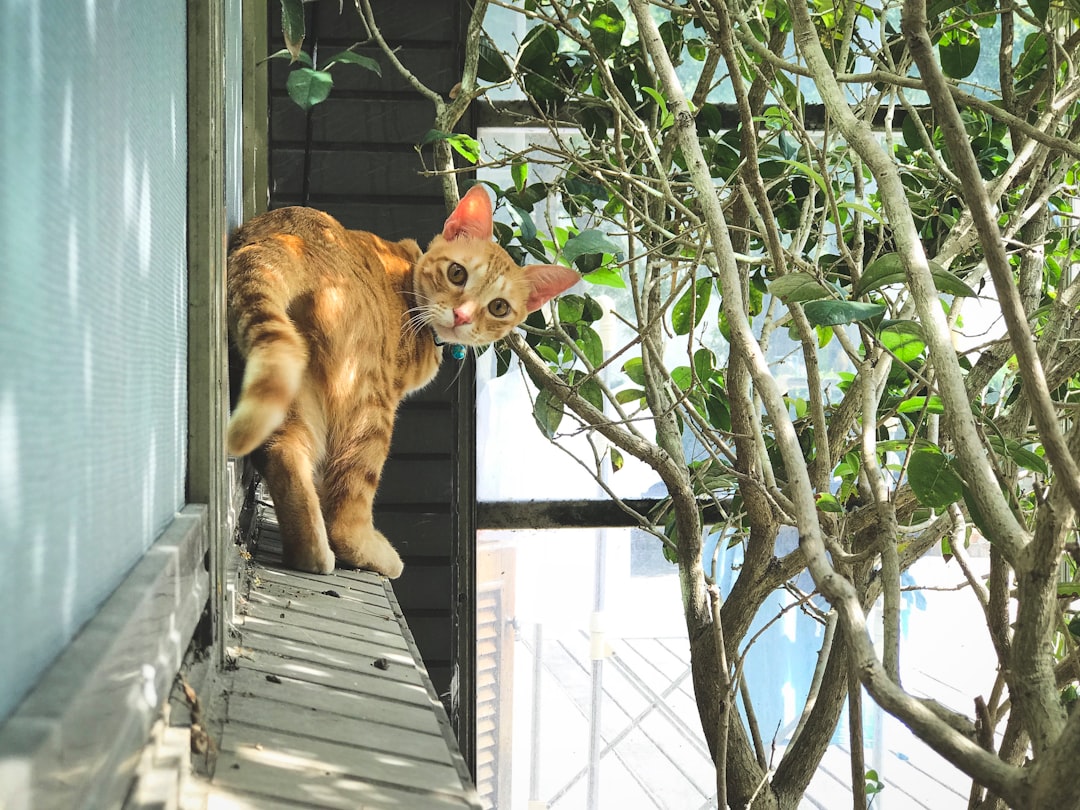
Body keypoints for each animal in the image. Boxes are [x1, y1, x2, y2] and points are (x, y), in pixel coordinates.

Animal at [226, 185, 578, 578]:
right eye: (457, 273)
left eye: (499, 307)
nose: (462, 316)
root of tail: (289, 238)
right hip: (370, 403)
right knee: (347, 502)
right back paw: (363, 550)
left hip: (294, 381)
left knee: (284, 451)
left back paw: (308, 553)